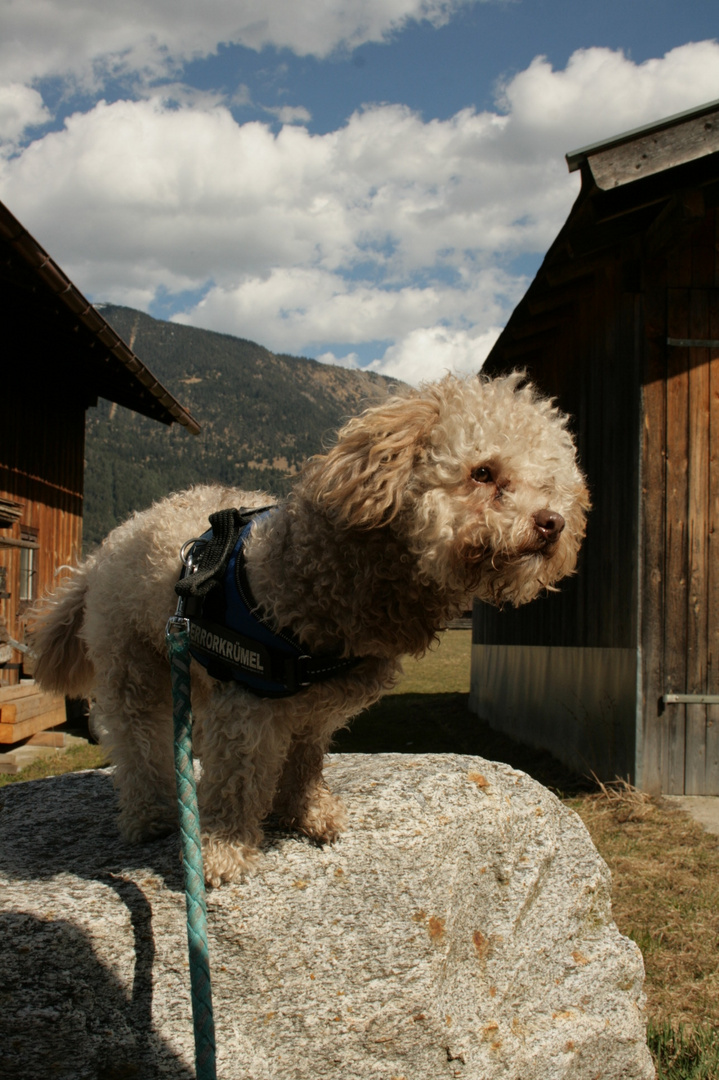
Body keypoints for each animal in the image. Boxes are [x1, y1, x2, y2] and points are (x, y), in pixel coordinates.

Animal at [32, 371, 587, 885]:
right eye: (483, 472)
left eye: (549, 483)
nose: (552, 523)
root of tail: (107, 547)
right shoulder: (248, 703)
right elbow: (237, 780)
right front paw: (224, 849)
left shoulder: (314, 705)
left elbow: (303, 760)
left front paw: (306, 813)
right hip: (132, 665)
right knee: (133, 739)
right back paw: (151, 813)